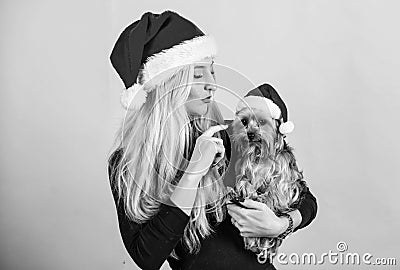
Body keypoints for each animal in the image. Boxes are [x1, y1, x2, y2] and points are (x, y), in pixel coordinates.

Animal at [227, 106, 308, 264]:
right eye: (244, 121)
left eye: (262, 122)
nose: (250, 134)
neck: (259, 151)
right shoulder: (245, 167)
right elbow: (243, 180)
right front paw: (245, 190)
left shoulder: (287, 177)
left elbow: (276, 189)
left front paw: (266, 200)